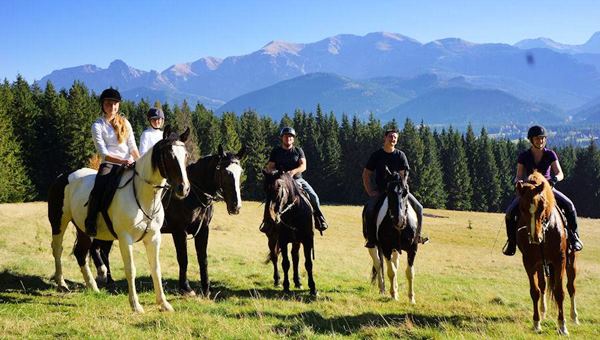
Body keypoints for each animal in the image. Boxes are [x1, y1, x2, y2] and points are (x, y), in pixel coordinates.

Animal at [48, 128, 190, 314]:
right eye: (169, 155)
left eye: (186, 155)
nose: (184, 188)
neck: (142, 194)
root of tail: (62, 176)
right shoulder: (125, 238)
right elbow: (130, 270)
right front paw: (135, 305)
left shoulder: (154, 237)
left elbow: (156, 269)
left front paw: (163, 303)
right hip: (59, 222)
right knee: (57, 249)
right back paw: (62, 283)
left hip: (84, 230)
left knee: (80, 253)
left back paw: (93, 287)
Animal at [89, 145, 244, 296]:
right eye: (226, 172)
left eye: (240, 172)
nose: (236, 206)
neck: (192, 197)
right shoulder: (179, 231)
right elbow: (183, 258)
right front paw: (185, 288)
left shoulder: (203, 230)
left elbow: (203, 259)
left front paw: (206, 290)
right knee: (96, 248)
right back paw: (103, 275)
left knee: (103, 251)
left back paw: (109, 280)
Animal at [364, 169, 420, 304]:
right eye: (388, 192)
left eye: (406, 192)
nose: (398, 219)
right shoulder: (386, 248)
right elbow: (391, 271)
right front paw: (393, 295)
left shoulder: (413, 249)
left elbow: (409, 272)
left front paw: (411, 298)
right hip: (373, 245)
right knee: (378, 264)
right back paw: (382, 288)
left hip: (395, 249)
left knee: (394, 263)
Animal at [516, 171, 576, 334]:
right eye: (522, 208)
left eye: (542, 206)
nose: (535, 237)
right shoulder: (529, 262)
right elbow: (535, 291)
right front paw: (536, 323)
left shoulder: (560, 260)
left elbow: (560, 292)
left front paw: (562, 326)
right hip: (540, 265)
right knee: (542, 285)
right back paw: (543, 312)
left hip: (571, 260)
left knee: (571, 287)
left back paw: (574, 317)